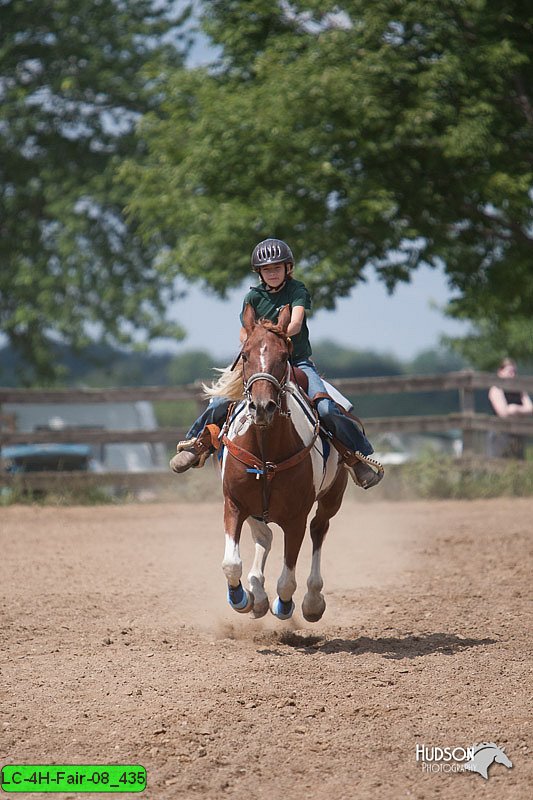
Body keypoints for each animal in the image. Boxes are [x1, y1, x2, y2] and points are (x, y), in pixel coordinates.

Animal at [214, 304, 348, 620]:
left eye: (284, 356)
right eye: (245, 355)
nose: (262, 407)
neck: (266, 453)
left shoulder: (296, 517)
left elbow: (287, 579)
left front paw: (284, 605)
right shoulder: (234, 504)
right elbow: (231, 563)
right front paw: (241, 598)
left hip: (332, 498)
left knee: (319, 530)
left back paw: (312, 601)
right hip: (255, 510)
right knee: (264, 536)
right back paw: (258, 594)